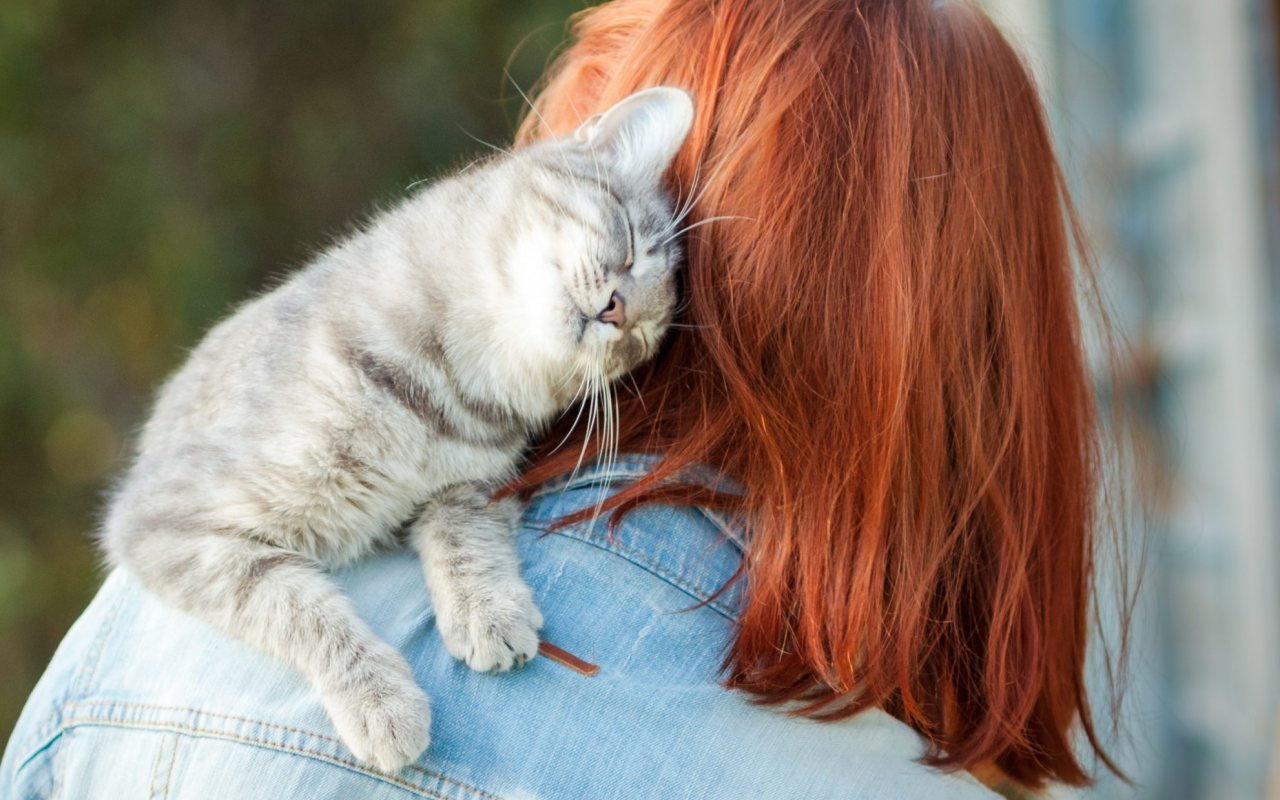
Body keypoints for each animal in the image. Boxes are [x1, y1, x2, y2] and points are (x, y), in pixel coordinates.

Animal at [103, 85, 696, 768]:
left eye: (644, 341)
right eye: (629, 238)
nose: (622, 313)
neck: (443, 384)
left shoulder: (480, 479)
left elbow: (464, 526)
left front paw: (486, 608)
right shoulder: (167, 524)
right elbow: (298, 607)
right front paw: (379, 701)